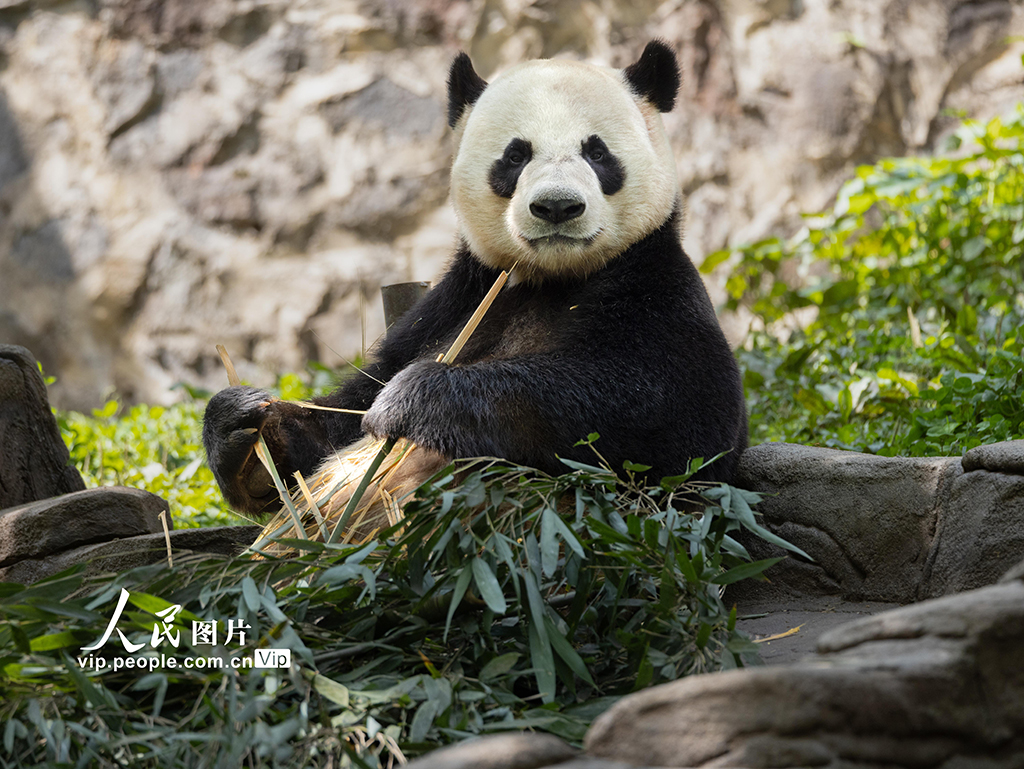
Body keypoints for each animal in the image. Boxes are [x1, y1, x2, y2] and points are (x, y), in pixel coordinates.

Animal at [202, 41, 747, 519]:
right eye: (516, 155)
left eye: (597, 153)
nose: (557, 207)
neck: (550, 278)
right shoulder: (453, 303)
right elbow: (340, 422)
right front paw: (245, 429)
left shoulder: (655, 285)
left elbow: (678, 417)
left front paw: (415, 400)